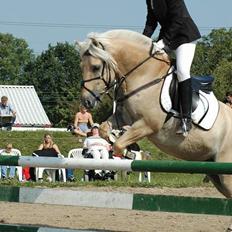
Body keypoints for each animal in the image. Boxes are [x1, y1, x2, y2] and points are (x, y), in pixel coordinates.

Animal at [76, 29, 232, 201]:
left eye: (96, 67)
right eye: (81, 66)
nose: (87, 102)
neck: (143, 75)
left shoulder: (147, 124)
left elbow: (119, 144)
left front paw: (130, 153)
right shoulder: (125, 117)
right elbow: (105, 129)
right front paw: (116, 141)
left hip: (226, 174)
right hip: (215, 173)